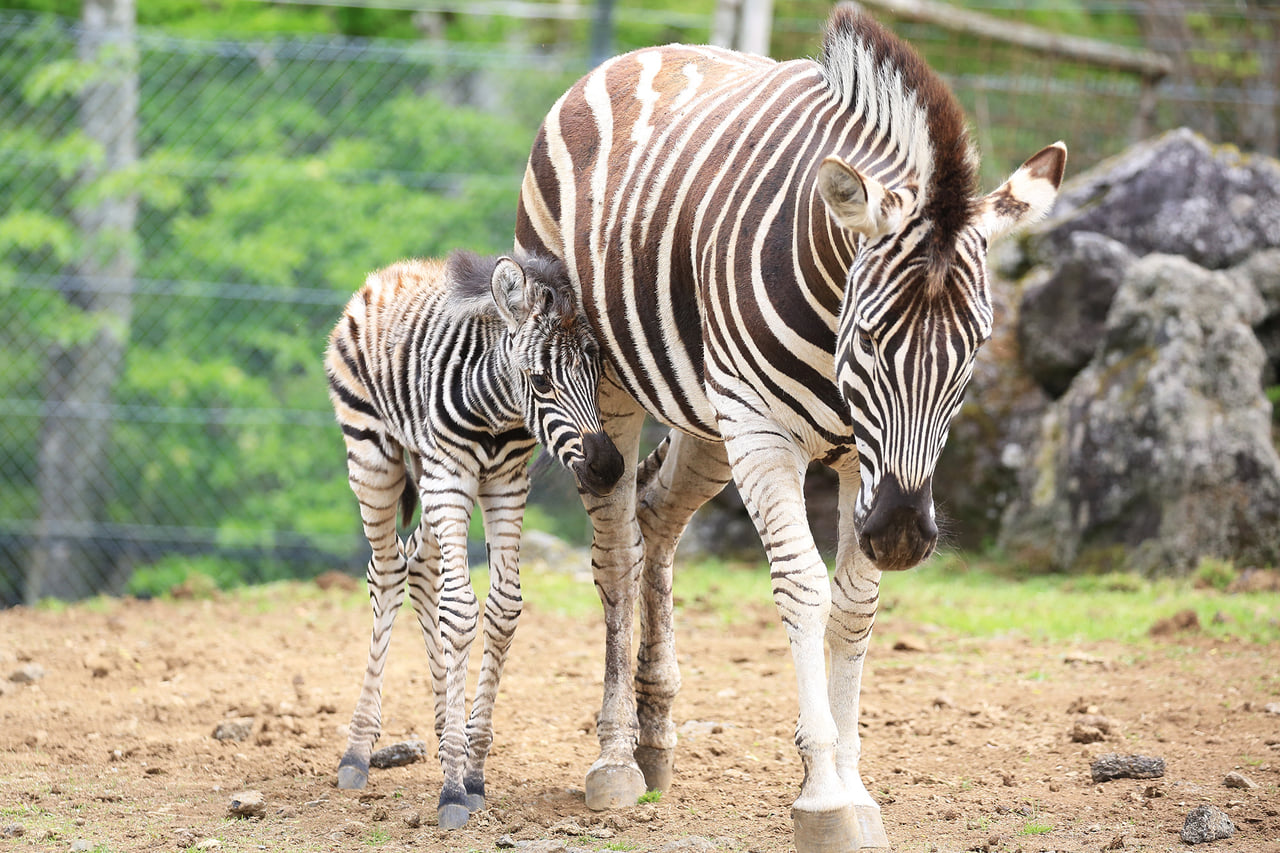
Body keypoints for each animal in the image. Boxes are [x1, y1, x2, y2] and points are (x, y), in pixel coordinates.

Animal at [320, 249, 619, 824]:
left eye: (597, 375)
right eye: (540, 382)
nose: (608, 468)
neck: (496, 411)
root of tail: (394, 271)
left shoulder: (507, 483)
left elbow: (503, 609)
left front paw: (471, 769)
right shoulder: (451, 475)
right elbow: (459, 611)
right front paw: (454, 789)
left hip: (429, 477)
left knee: (419, 566)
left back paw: (443, 727)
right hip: (374, 456)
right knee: (387, 571)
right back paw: (356, 753)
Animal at [514, 8, 1064, 850]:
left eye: (973, 350)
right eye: (869, 336)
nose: (903, 533)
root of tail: (643, 54)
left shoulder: (861, 462)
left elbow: (855, 604)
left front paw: (855, 786)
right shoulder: (766, 434)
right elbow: (803, 585)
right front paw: (824, 794)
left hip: (710, 423)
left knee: (654, 518)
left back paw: (655, 737)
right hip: (609, 392)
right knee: (613, 553)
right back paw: (613, 759)